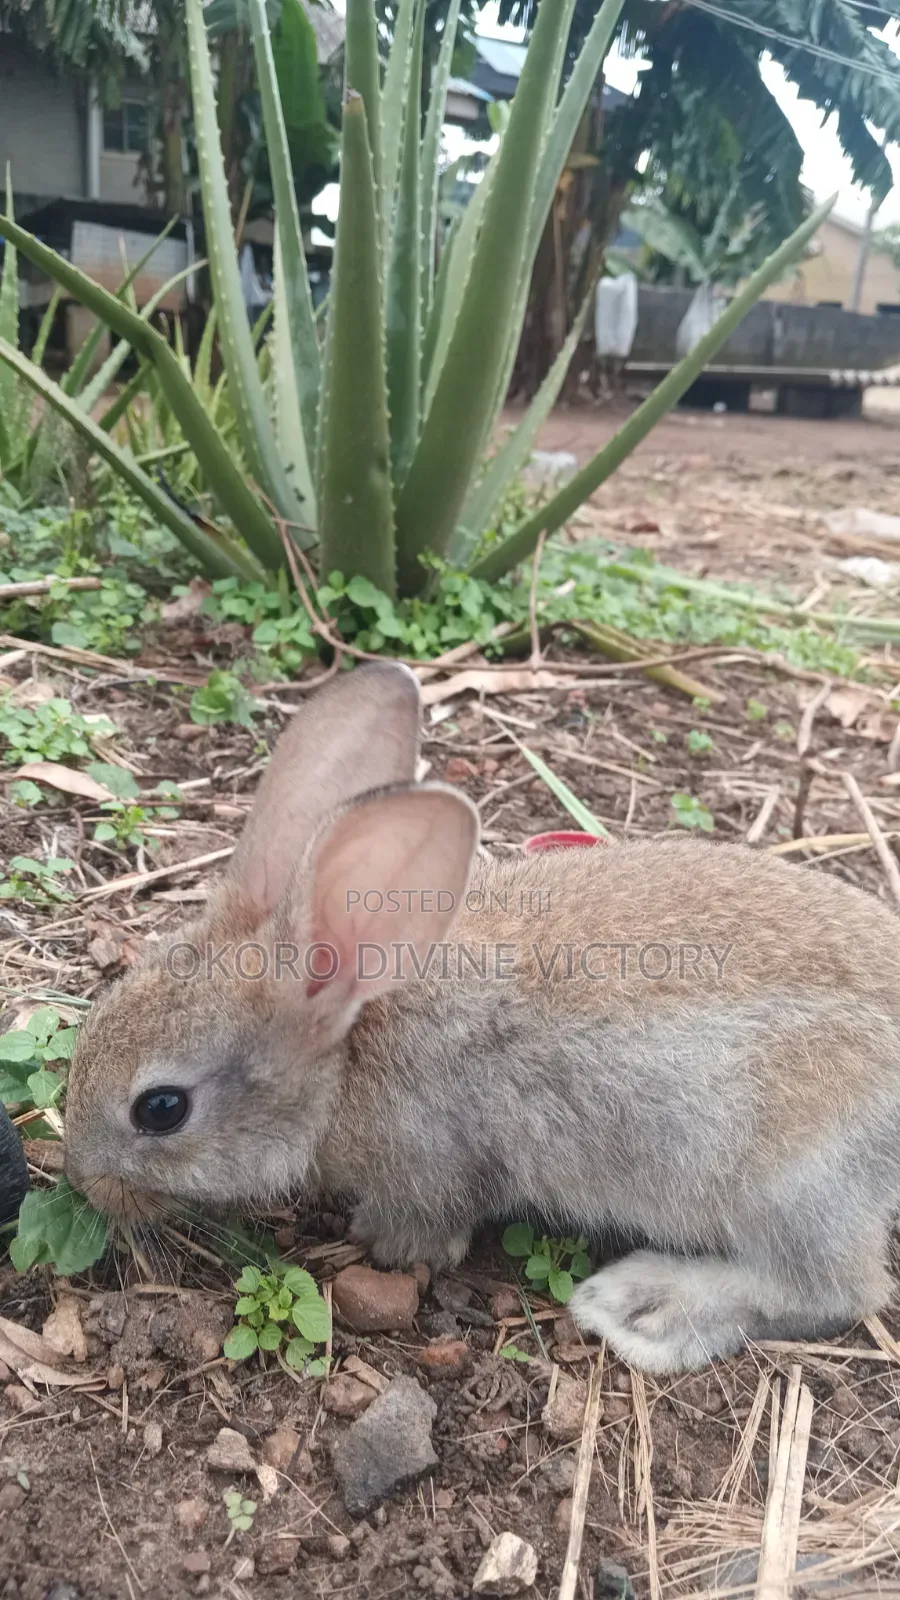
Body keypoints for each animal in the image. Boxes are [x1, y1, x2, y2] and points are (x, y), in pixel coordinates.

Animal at [63, 660, 900, 1374]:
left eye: (161, 1109)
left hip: (791, 1180)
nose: (86, 1182)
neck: (347, 1051)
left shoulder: (433, 1165)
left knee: (839, 1288)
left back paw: (643, 1305)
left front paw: (382, 1244)